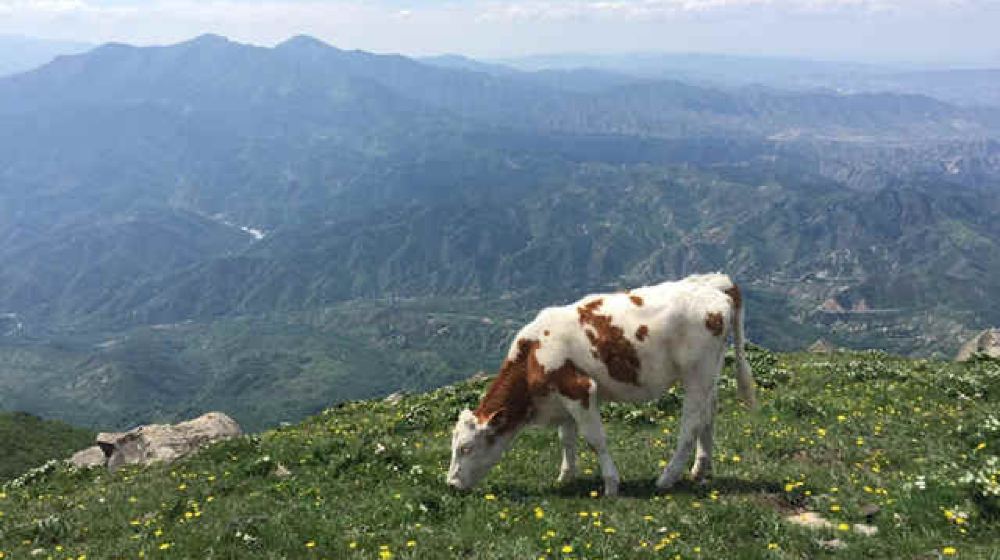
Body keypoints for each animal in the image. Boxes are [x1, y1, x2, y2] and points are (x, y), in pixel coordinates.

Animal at [446, 274, 752, 496]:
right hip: (711, 372)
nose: (451, 484)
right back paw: (701, 471)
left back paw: (666, 478)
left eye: (466, 448)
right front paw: (565, 477)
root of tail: (716, 286)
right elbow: (566, 438)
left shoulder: (579, 389)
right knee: (708, 415)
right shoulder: (562, 398)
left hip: (696, 375)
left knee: (691, 424)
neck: (532, 354)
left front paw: (611, 484)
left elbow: (595, 439)